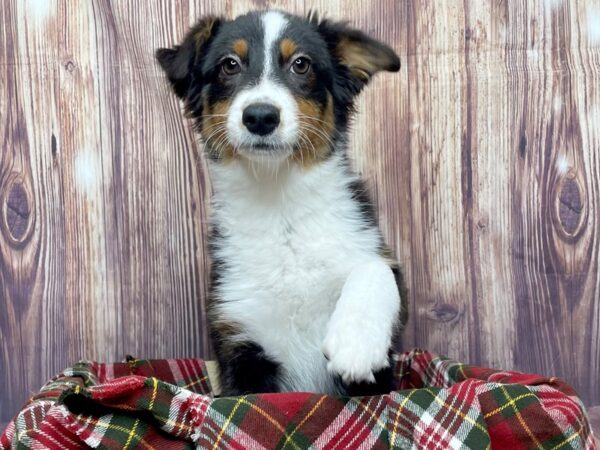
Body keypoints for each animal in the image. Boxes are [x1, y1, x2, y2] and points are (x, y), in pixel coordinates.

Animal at [155, 9, 408, 398]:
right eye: (229, 65)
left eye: (301, 64)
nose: (260, 116)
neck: (279, 203)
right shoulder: (240, 337)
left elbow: (378, 268)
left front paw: (356, 344)